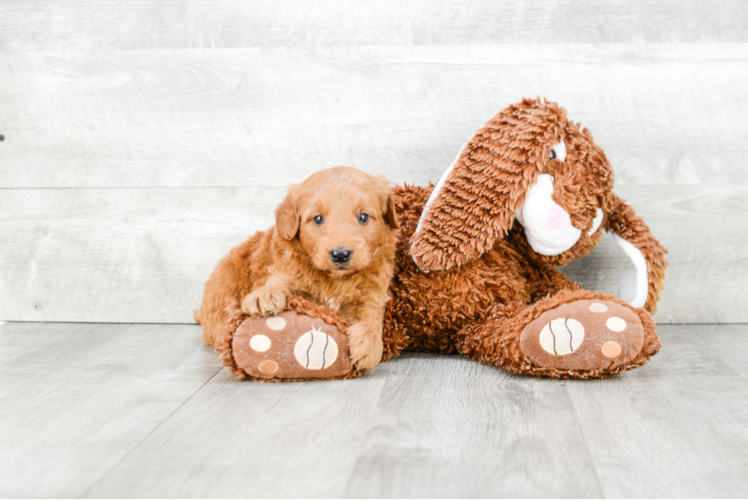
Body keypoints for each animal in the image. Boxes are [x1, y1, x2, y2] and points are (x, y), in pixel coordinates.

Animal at [196, 166, 400, 370]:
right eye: (317, 219)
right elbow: (277, 283)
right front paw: (265, 295)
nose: (340, 254)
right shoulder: (286, 272)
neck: (334, 280)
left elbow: (371, 315)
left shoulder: (373, 293)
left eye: (363, 217)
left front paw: (369, 345)